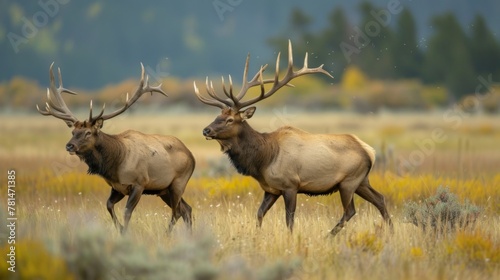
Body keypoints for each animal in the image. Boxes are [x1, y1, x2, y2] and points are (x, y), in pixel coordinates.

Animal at [36, 63, 193, 234]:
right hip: (163, 190)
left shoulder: (139, 183)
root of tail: (191, 155)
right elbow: (109, 205)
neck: (115, 164)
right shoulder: (117, 188)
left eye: (88, 132)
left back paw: (167, 234)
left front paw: (125, 232)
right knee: (187, 209)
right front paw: (121, 230)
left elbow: (127, 212)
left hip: (178, 182)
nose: (69, 145)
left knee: (177, 211)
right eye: (73, 132)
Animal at [193, 40, 392, 235]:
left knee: (350, 210)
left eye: (230, 120)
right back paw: (390, 231)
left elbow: (289, 219)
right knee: (380, 199)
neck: (264, 160)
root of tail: (370, 151)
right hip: (362, 181)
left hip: (349, 181)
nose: (206, 130)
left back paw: (329, 235)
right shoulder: (271, 189)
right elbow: (259, 213)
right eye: (217, 116)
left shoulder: (290, 185)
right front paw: (257, 235)